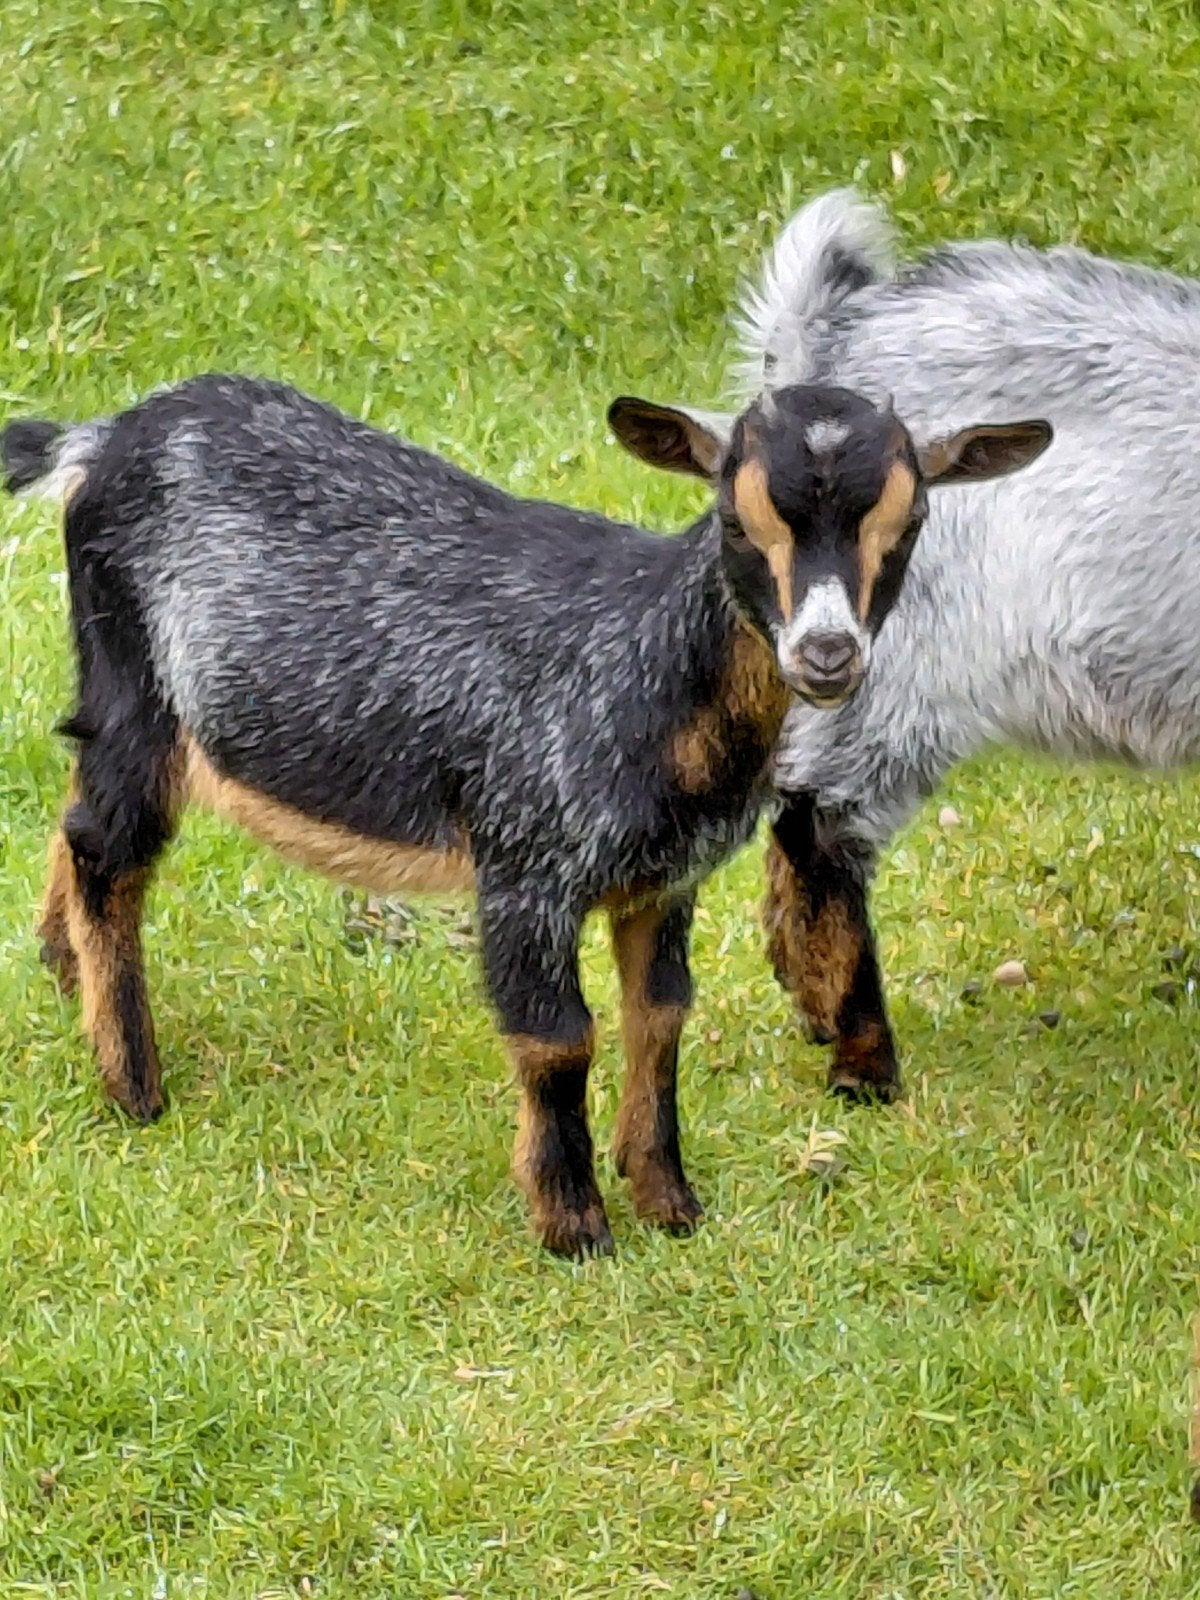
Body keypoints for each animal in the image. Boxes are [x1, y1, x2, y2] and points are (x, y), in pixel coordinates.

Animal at [3, 372, 1047, 1255]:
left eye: (909, 519)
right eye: (736, 517)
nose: (826, 654)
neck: (647, 672)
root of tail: (100, 439)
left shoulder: (663, 881)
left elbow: (661, 1015)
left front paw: (668, 1199)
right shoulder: (526, 857)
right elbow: (557, 1036)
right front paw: (574, 1223)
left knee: (78, 804)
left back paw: (65, 971)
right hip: (136, 672)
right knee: (109, 845)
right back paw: (132, 1084)